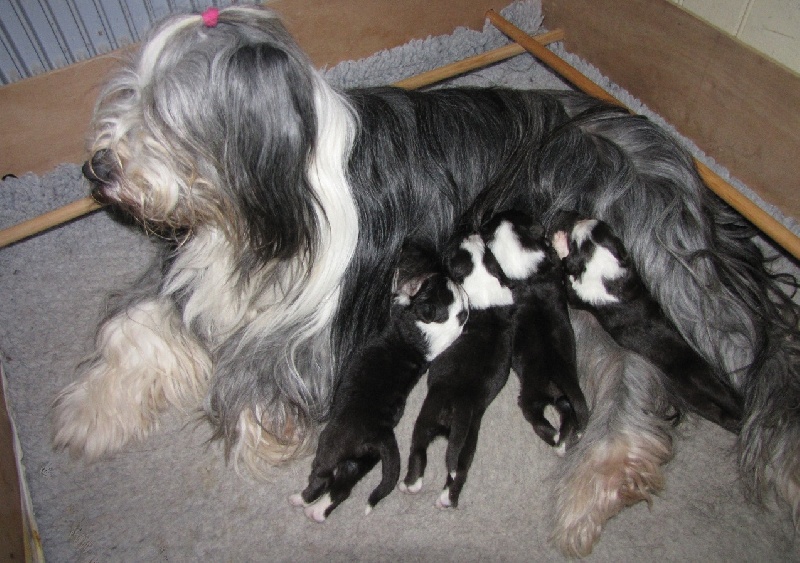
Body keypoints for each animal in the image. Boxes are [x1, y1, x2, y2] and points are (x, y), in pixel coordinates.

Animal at [292, 245, 468, 524]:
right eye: (444, 287)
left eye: (435, 286)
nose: (446, 274)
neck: (433, 331)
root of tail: (380, 435)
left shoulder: (400, 312)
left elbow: (399, 300)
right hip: (363, 460)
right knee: (342, 487)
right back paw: (317, 512)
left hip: (332, 444)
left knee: (322, 477)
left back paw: (301, 499)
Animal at [552, 216, 748, 432]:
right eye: (604, 228)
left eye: (575, 242)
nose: (583, 219)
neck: (607, 270)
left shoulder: (579, 294)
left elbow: (570, 279)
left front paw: (559, 242)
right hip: (700, 398)